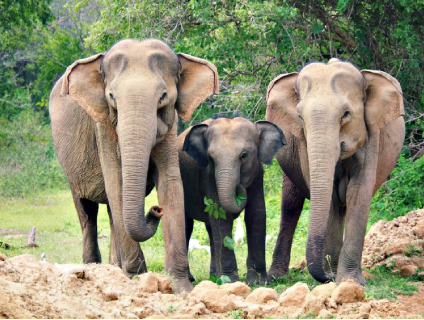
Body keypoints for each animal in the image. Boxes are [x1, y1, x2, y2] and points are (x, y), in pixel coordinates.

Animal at [49, 38, 219, 292]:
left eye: (163, 96)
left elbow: (170, 182)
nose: (156, 210)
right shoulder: (103, 127)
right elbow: (115, 182)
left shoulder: (170, 126)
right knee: (87, 211)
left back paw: (114, 269)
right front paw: (137, 279)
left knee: (111, 213)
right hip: (71, 168)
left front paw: (181, 287)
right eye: (111, 97)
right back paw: (93, 269)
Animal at [177, 116, 286, 284]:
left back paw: (214, 276)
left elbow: (256, 214)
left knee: (210, 229)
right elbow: (221, 216)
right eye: (210, 157)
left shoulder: (257, 174)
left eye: (244, 155)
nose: (240, 188)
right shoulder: (209, 176)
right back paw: (194, 278)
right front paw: (231, 281)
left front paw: (258, 282)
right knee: (187, 224)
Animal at [266, 58, 406, 284]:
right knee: (291, 205)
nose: (327, 277)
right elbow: (329, 198)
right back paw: (277, 277)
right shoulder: (304, 146)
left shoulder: (371, 138)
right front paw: (336, 277)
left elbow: (358, 194)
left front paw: (350, 281)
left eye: (346, 114)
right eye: (299, 116)